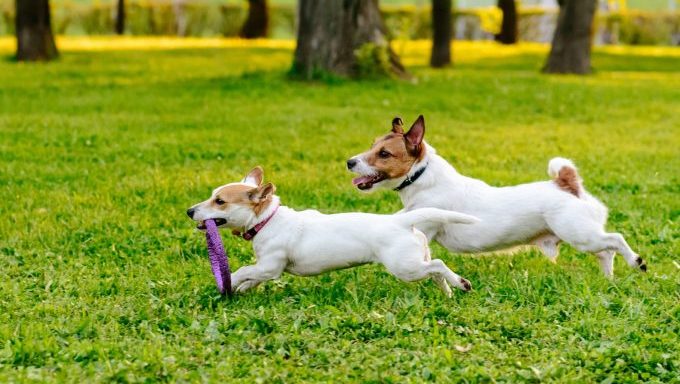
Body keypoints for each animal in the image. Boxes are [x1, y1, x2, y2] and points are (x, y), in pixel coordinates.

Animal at [350, 114, 648, 276]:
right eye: (372, 145)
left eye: (384, 154)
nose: (350, 162)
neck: (423, 177)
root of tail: (566, 183)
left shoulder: (426, 224)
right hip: (585, 237)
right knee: (605, 252)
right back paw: (608, 279)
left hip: (580, 234)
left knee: (615, 240)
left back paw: (636, 262)